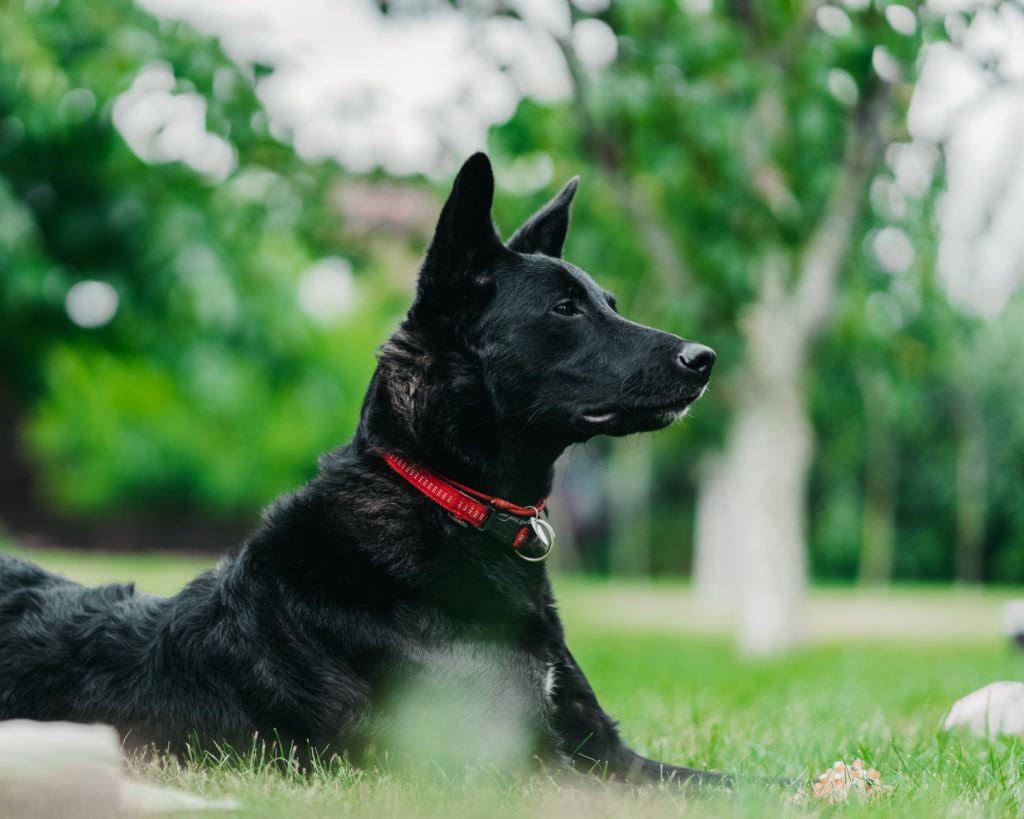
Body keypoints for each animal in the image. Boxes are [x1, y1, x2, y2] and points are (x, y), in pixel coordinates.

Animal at [0, 155, 720, 786]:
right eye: (565, 308)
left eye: (609, 301)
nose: (705, 358)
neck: (447, 500)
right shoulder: (506, 770)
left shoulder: (609, 752)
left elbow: (730, 782)